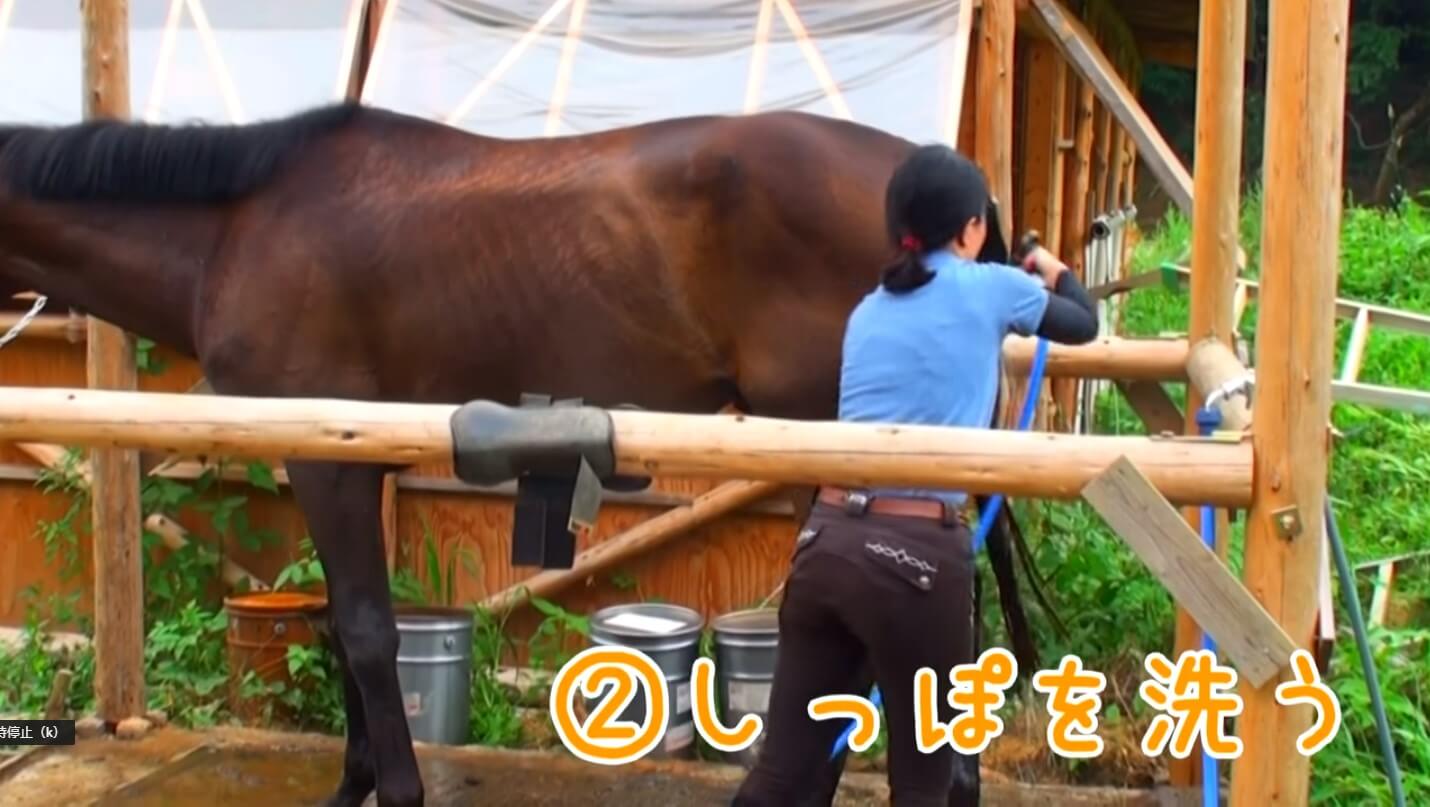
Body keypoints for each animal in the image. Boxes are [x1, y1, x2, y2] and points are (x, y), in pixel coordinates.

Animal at [0, 103, 1043, 806]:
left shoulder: (329, 467)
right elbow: (343, 625)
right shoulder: (337, 462)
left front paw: (396, 788)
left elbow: (368, 634)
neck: (241, 227)